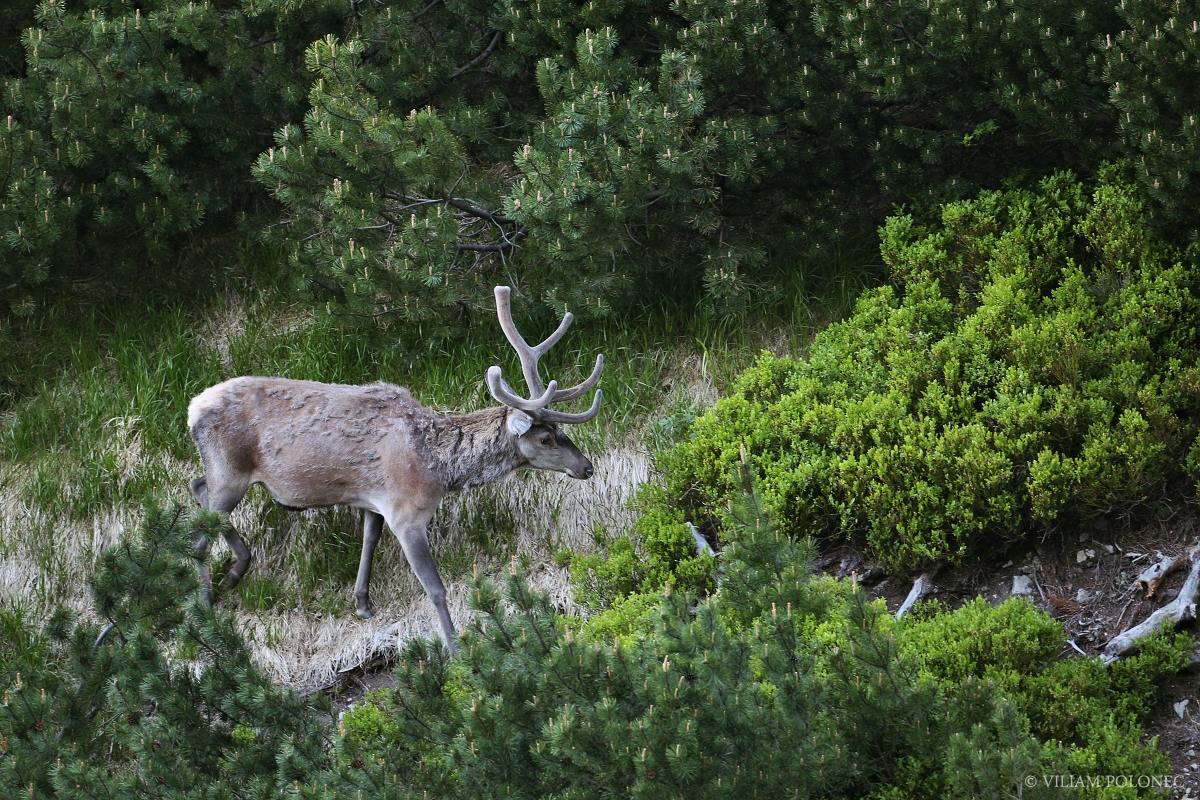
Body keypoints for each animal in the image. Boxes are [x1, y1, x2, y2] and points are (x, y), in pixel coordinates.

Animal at [184, 284, 600, 652]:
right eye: (546, 439)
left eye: (561, 432)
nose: (588, 467)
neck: (439, 468)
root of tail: (191, 409)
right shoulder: (407, 512)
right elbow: (435, 587)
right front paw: (456, 649)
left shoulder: (374, 500)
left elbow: (369, 540)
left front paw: (362, 603)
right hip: (231, 469)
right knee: (198, 534)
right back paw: (206, 603)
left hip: (224, 473)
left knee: (198, 487)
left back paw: (235, 569)